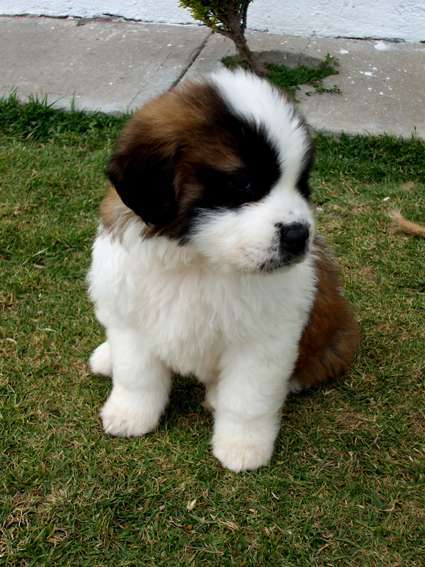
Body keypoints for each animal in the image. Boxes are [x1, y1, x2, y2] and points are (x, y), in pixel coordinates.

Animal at [88, 69, 360, 472]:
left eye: (302, 184)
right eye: (244, 185)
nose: (299, 235)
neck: (199, 261)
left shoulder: (264, 342)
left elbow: (247, 398)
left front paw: (243, 445)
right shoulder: (132, 317)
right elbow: (137, 375)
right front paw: (130, 413)